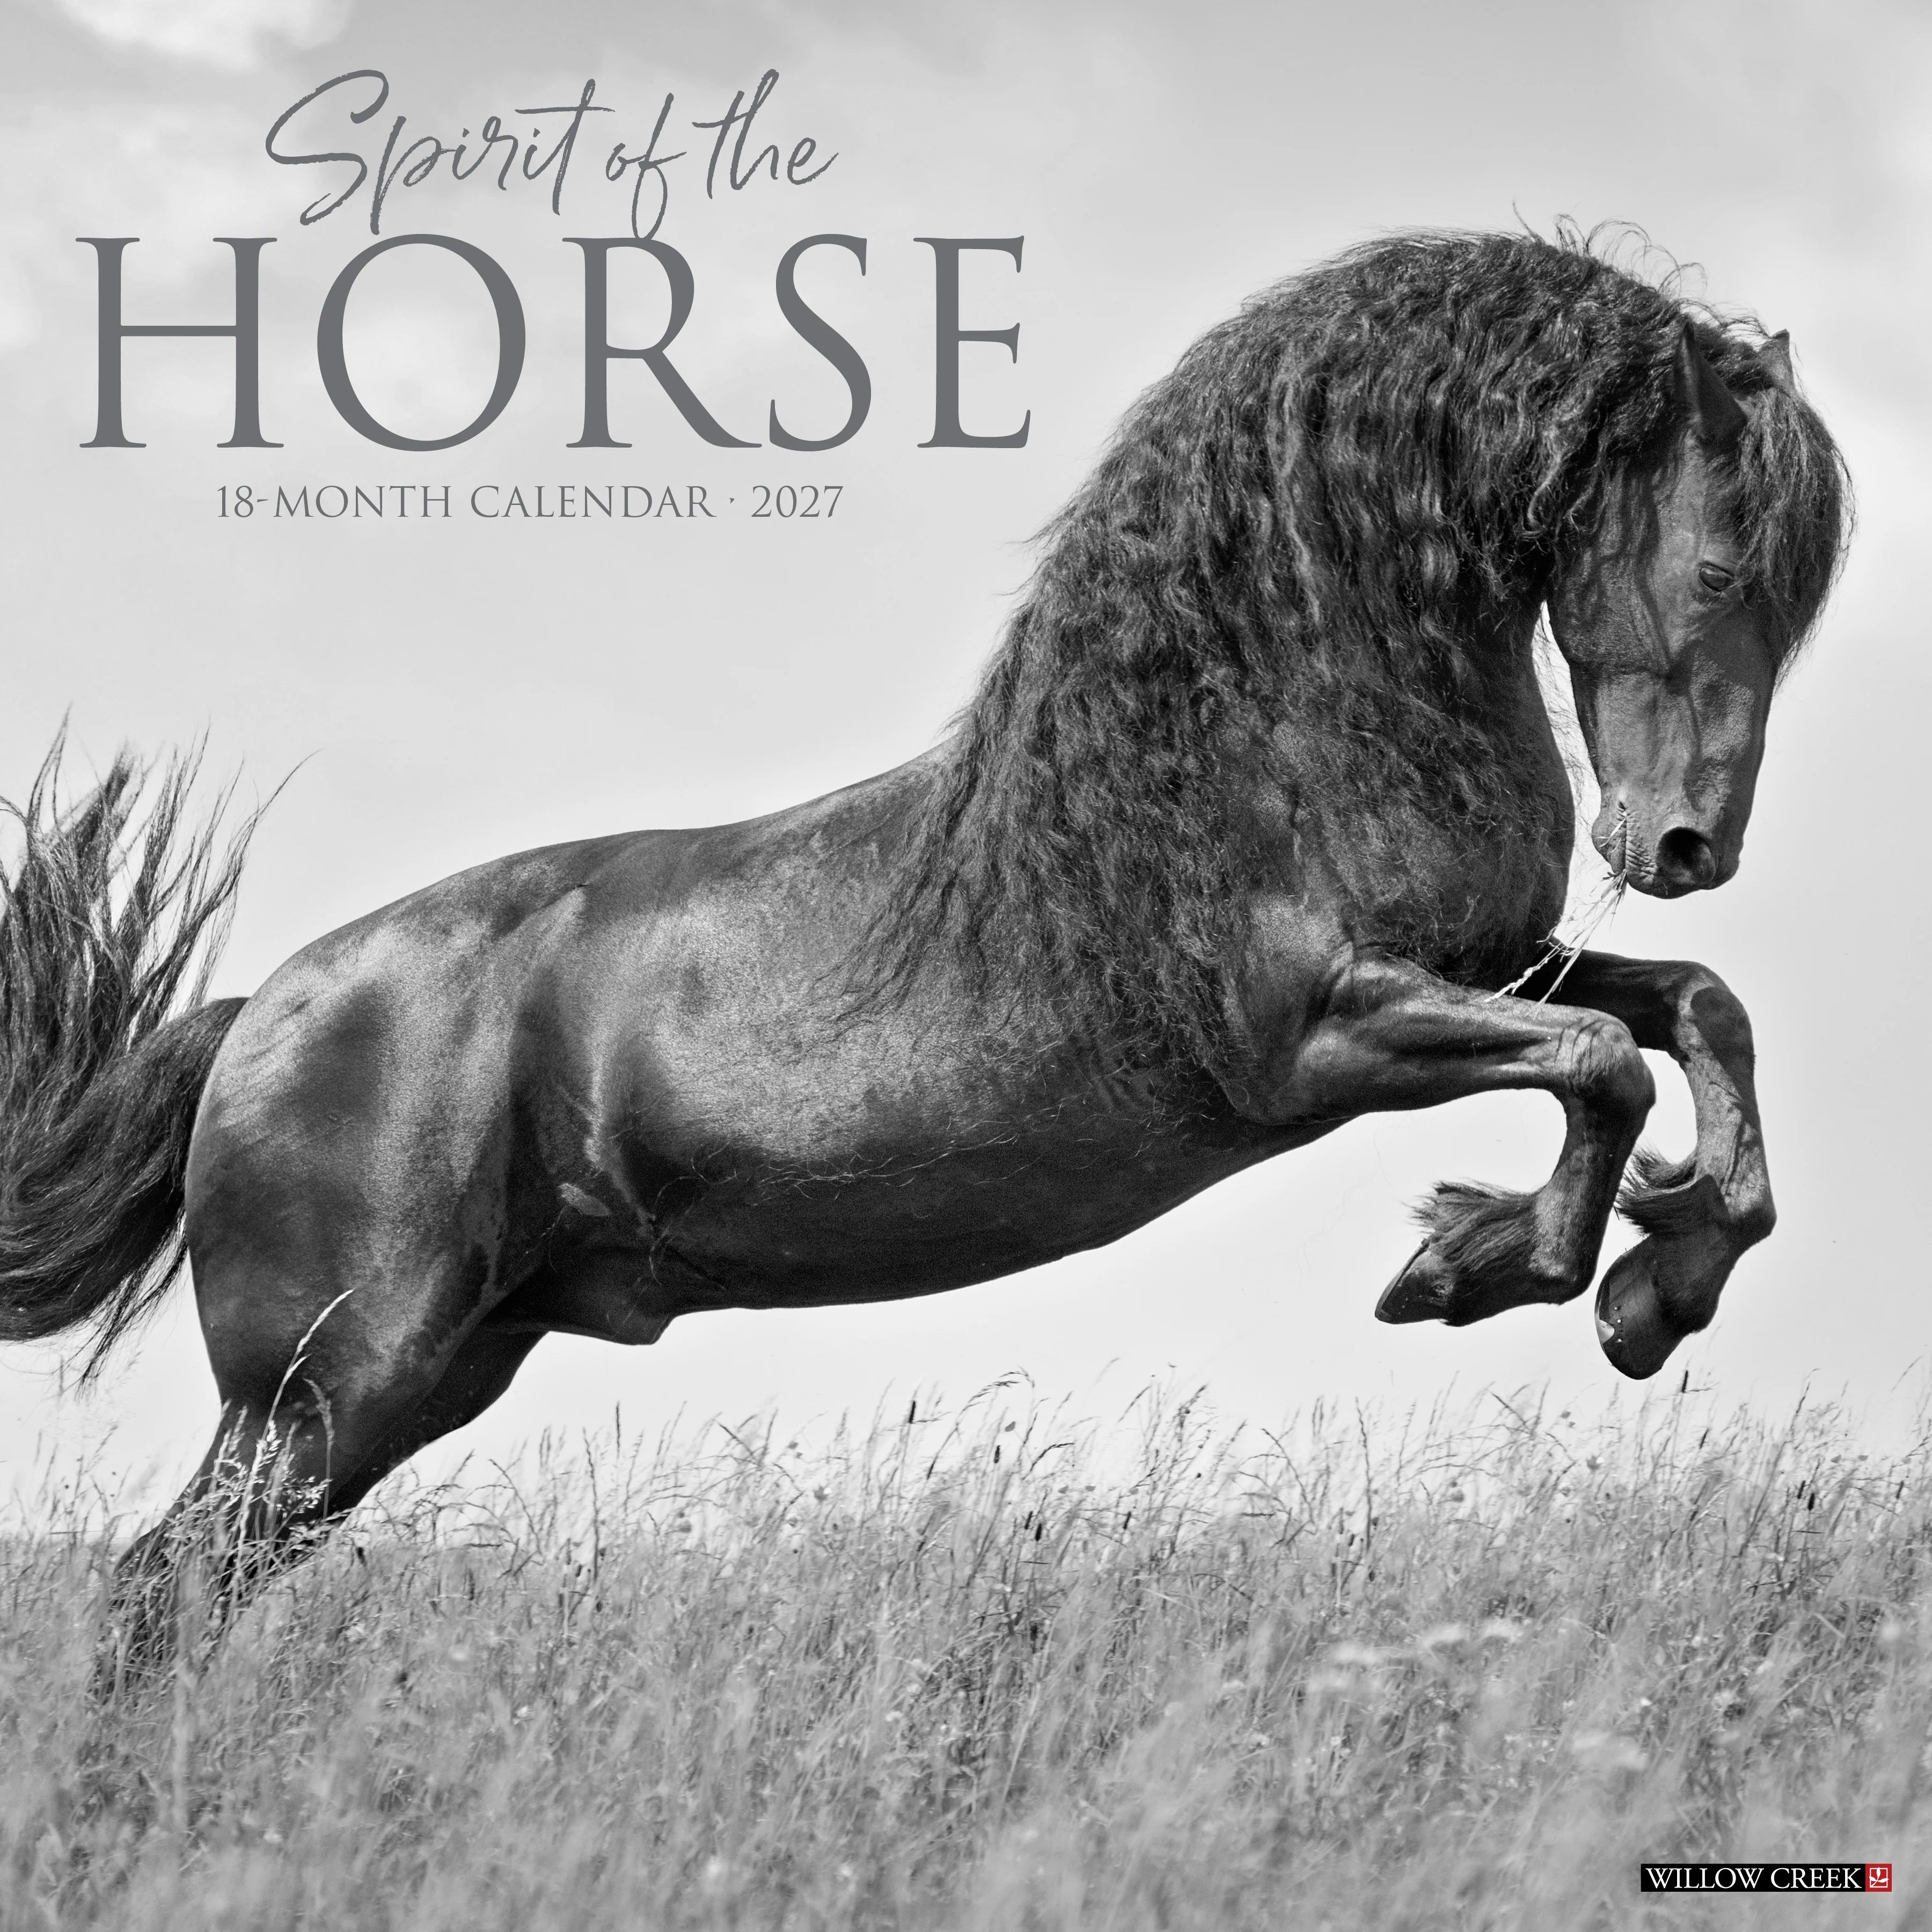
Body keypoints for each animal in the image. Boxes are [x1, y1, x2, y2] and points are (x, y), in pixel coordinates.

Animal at [0, 230, 1846, 1675]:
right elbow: (1604, 1067)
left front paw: (1664, 1274)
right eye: (1713, 563)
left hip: (431, 1376)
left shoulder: (1489, 959)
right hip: (332, 1393)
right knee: (157, 1597)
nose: (1687, 848)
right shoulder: (1323, 1038)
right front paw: (1491, 1268)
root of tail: (260, 1015)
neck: (1253, 742)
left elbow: (1696, 1015)